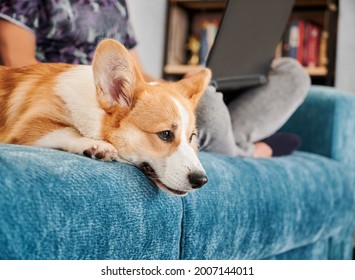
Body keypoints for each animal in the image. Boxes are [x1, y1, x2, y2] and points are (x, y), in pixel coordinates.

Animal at [0, 38, 211, 197]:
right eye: (165, 134)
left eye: (191, 137)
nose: (201, 181)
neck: (94, 108)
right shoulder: (27, 127)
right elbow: (68, 130)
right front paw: (95, 145)